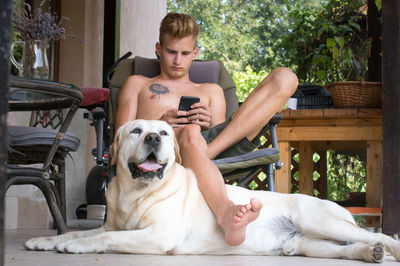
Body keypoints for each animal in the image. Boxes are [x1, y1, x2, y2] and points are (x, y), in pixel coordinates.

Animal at [25, 120, 400, 262]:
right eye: (135, 130)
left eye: (164, 132)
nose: (154, 138)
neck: (136, 192)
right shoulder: (113, 222)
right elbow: (78, 232)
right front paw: (46, 240)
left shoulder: (159, 236)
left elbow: (104, 237)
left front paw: (74, 246)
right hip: (306, 244)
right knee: (346, 248)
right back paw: (370, 254)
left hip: (320, 221)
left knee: (383, 236)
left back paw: (385, 248)